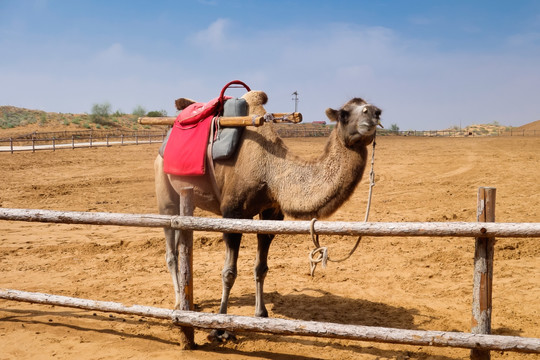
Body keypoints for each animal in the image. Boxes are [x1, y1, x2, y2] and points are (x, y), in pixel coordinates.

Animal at [154, 90, 382, 340]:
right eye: (344, 113)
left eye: (375, 110)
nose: (373, 112)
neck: (271, 172)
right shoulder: (232, 213)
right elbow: (229, 272)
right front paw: (220, 327)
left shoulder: (271, 213)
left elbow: (261, 268)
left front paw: (261, 314)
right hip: (164, 187)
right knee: (171, 250)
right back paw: (179, 304)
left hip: (188, 198)